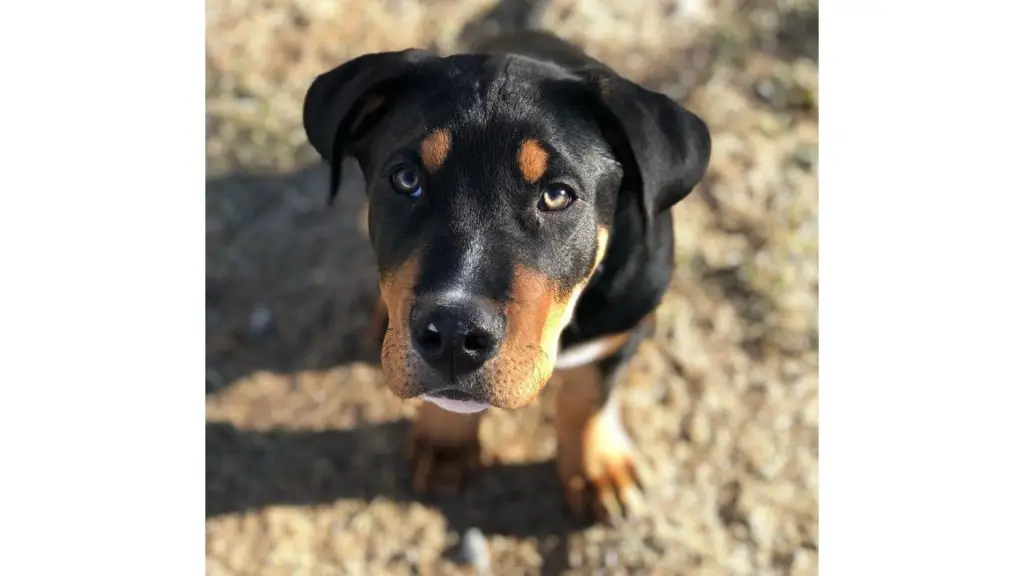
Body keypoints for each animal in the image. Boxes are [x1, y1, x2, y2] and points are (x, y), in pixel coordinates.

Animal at [299, 31, 708, 522]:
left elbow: (589, 397)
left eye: (557, 195)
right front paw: (445, 445)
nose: (454, 334)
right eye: (406, 179)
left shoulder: (624, 323)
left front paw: (597, 471)